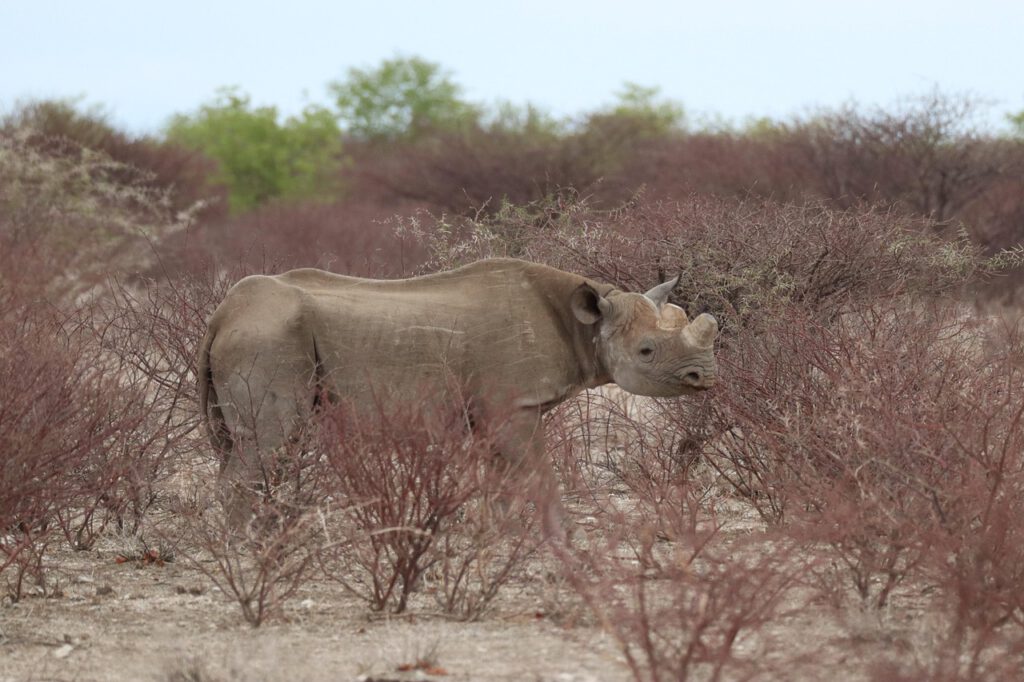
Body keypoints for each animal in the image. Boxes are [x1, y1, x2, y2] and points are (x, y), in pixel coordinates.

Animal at [198, 258, 718, 533]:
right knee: (270, 439)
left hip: (262, 332)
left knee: (267, 447)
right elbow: (538, 471)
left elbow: (504, 476)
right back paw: (244, 546)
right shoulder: (513, 404)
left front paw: (501, 534)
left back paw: (270, 535)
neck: (585, 325)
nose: (705, 376)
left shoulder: (492, 410)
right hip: (266, 335)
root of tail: (220, 315)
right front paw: (562, 537)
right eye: (647, 351)